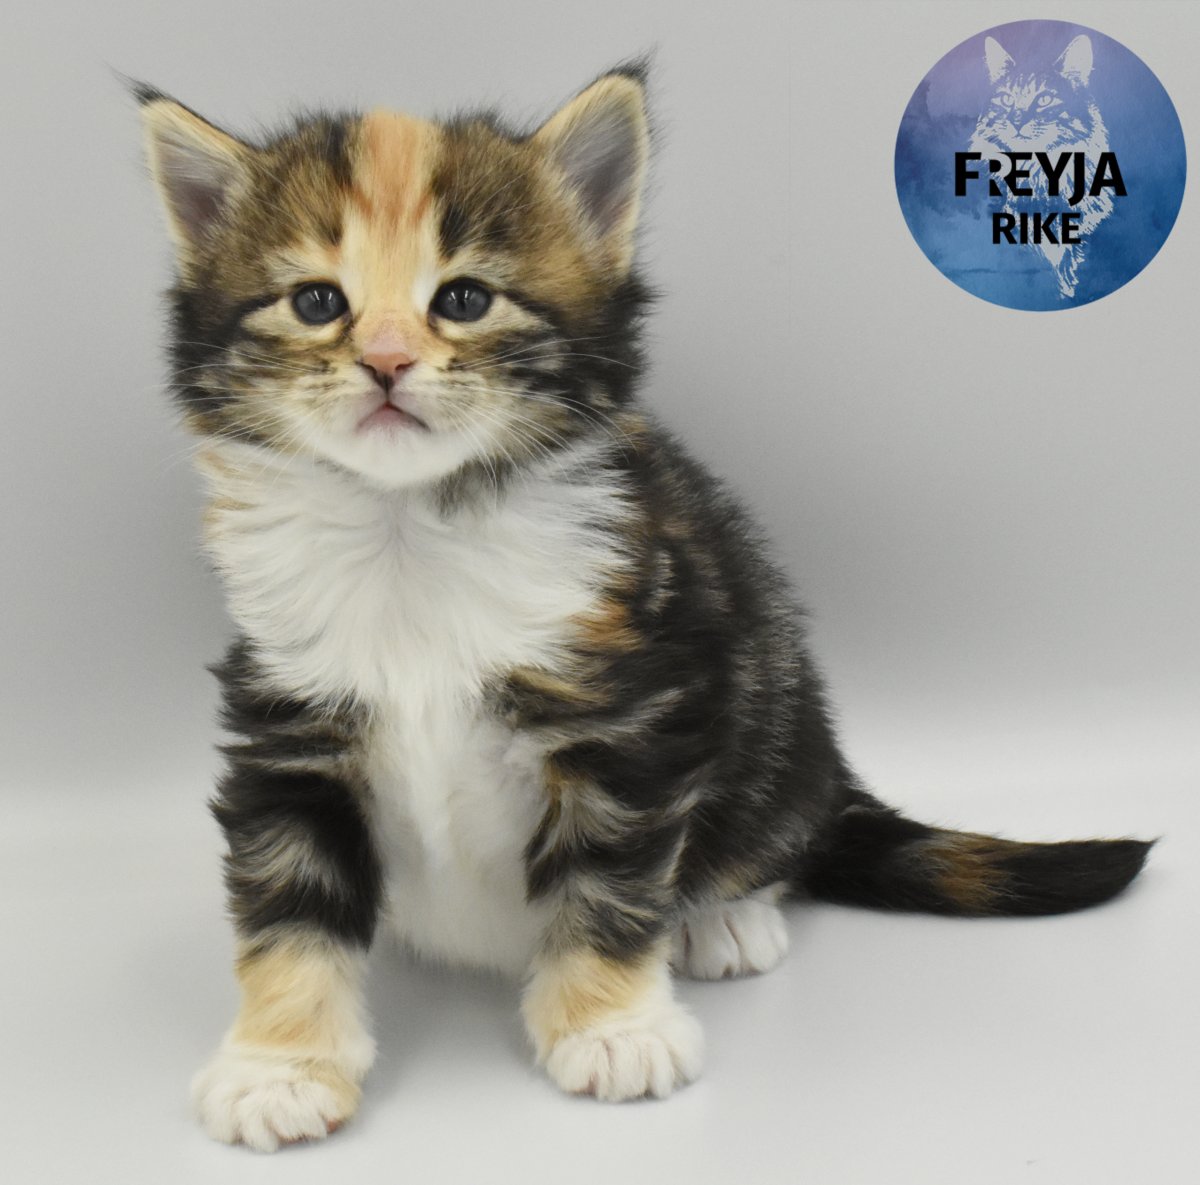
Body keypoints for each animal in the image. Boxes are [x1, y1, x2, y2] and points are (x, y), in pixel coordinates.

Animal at [137, 65, 1151, 1152]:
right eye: (318, 301)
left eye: (464, 298)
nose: (387, 361)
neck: (412, 527)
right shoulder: (287, 721)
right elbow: (285, 904)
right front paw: (277, 1065)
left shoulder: (630, 706)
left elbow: (611, 880)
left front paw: (611, 1026)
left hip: (775, 711)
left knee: (765, 835)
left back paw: (719, 915)